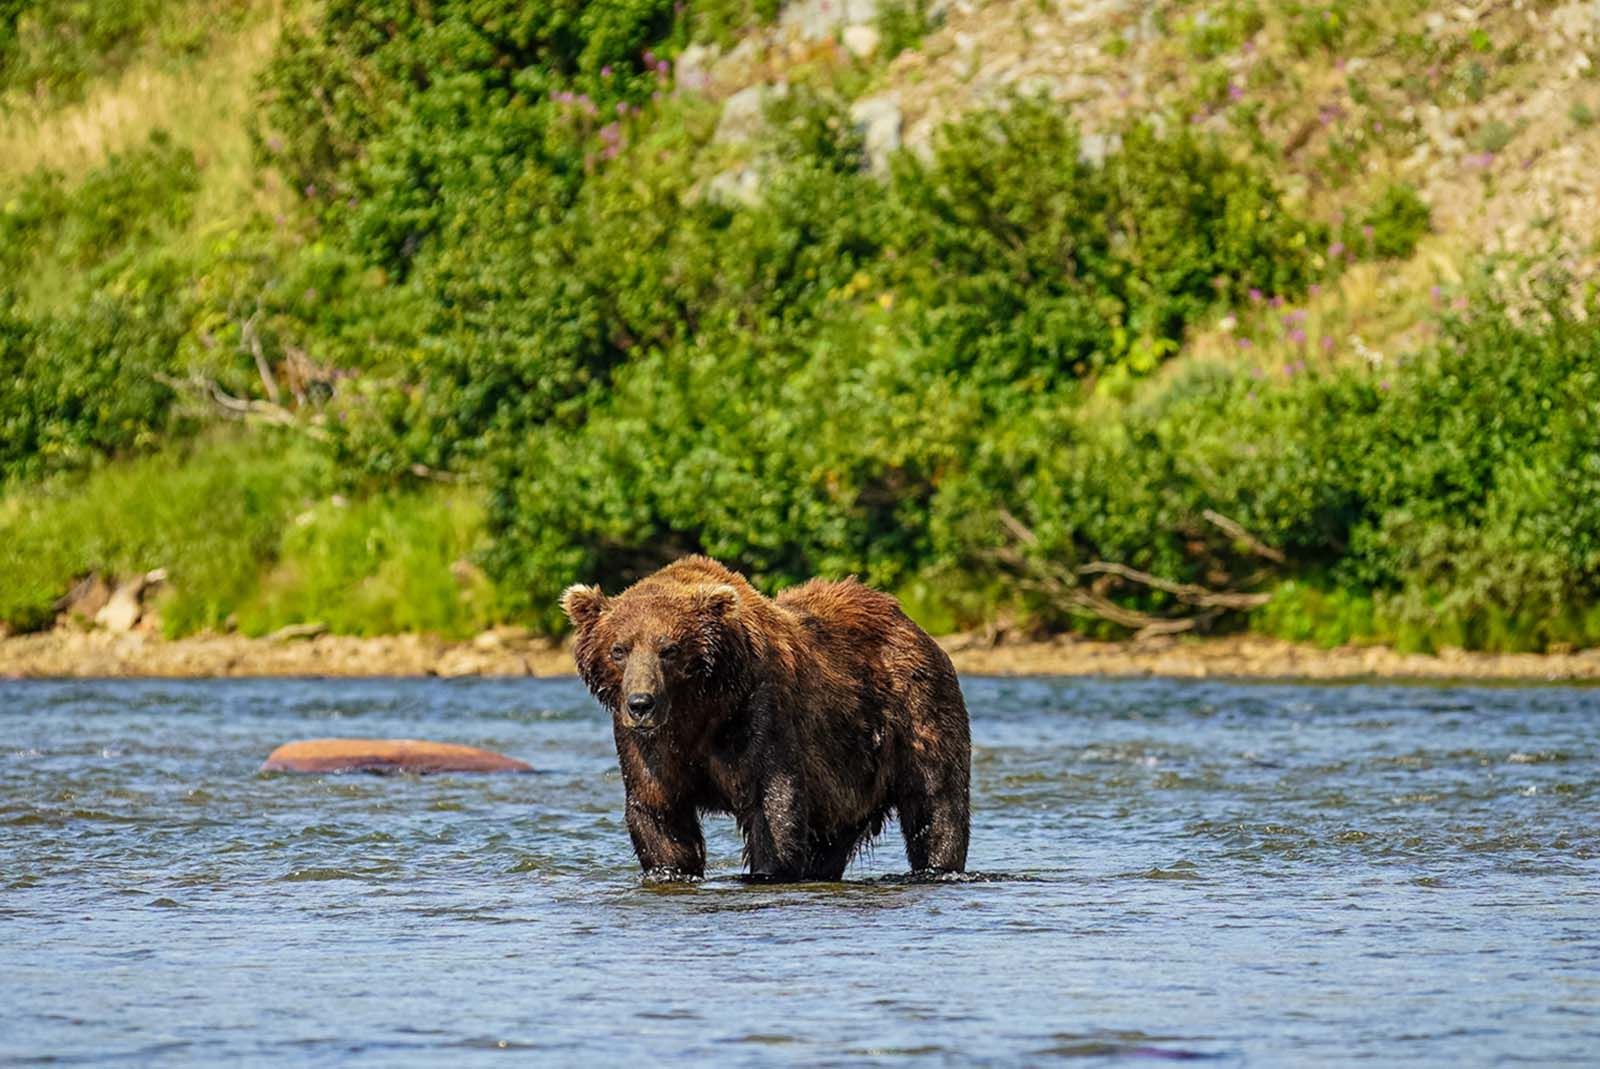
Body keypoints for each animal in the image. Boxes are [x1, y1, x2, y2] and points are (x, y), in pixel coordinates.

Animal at [562, 555, 970, 881]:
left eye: (669, 649)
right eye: (619, 649)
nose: (641, 703)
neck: (698, 706)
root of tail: (912, 624)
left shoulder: (756, 710)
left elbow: (774, 804)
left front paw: (767, 872)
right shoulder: (650, 745)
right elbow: (659, 813)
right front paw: (669, 869)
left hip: (915, 709)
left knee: (936, 802)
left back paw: (938, 866)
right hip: (847, 781)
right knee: (831, 840)